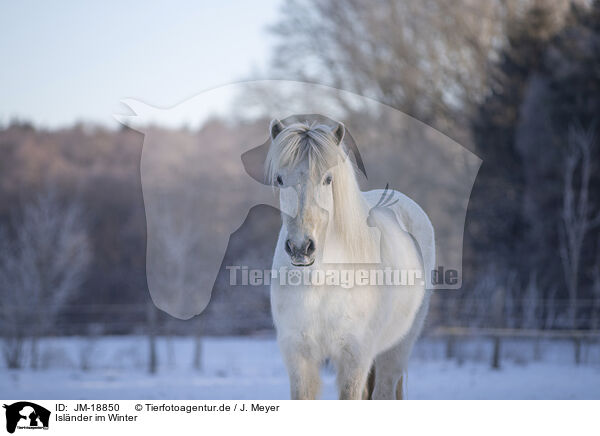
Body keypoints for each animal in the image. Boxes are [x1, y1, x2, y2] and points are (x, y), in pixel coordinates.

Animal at [268, 116, 436, 398]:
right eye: (280, 179)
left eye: (328, 179)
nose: (301, 247)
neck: (322, 280)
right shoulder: (299, 356)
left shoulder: (355, 358)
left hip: (397, 349)